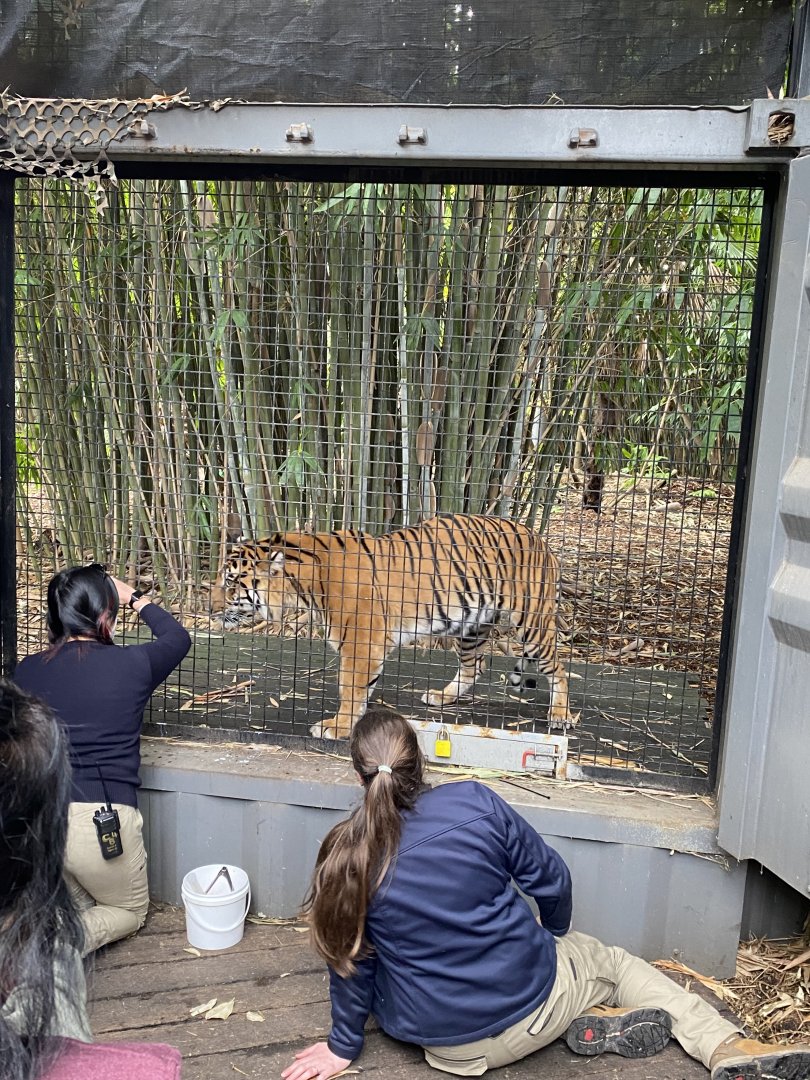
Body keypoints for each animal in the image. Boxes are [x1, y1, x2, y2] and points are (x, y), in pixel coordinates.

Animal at [221, 514, 576, 740]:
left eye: (230, 583)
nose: (212, 609)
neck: (304, 585)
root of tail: (543, 541)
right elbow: (358, 689)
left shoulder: (361, 644)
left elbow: (351, 688)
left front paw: (338, 727)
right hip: (472, 626)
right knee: (475, 665)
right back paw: (441, 696)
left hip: (531, 623)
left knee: (559, 668)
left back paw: (560, 716)